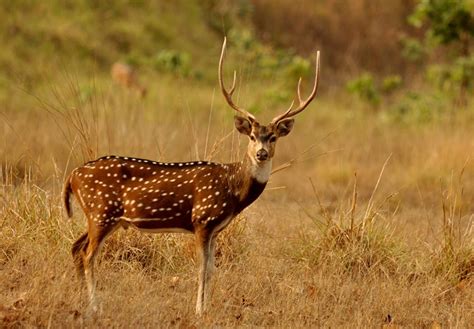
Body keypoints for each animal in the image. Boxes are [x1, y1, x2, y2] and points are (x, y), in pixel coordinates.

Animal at [65, 37, 320, 314]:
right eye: (252, 136)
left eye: (273, 137)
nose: (261, 153)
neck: (233, 189)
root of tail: (72, 177)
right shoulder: (202, 219)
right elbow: (201, 269)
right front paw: (199, 310)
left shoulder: (216, 229)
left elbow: (211, 270)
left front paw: (206, 308)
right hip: (101, 212)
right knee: (88, 254)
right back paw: (94, 307)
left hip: (101, 217)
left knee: (76, 247)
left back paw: (80, 299)